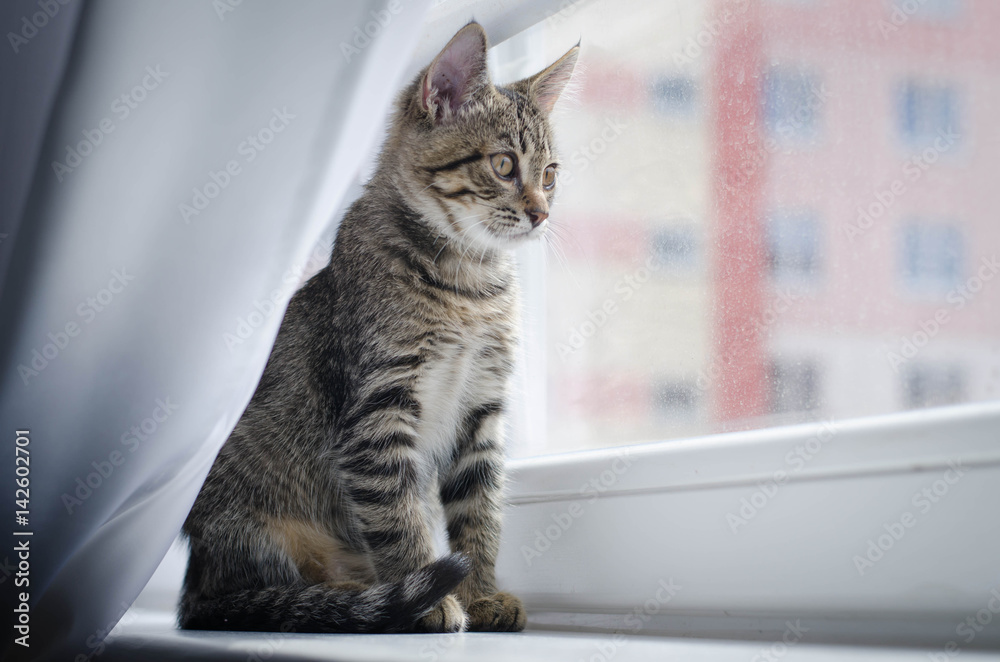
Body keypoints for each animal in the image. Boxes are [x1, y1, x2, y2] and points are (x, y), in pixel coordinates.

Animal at [180, 23, 580, 636]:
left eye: (550, 175)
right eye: (504, 165)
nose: (542, 214)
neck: (469, 284)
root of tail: (193, 575)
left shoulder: (481, 409)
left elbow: (479, 511)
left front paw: (482, 594)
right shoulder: (376, 410)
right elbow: (398, 514)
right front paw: (428, 596)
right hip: (254, 530)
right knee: (256, 591)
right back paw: (352, 596)